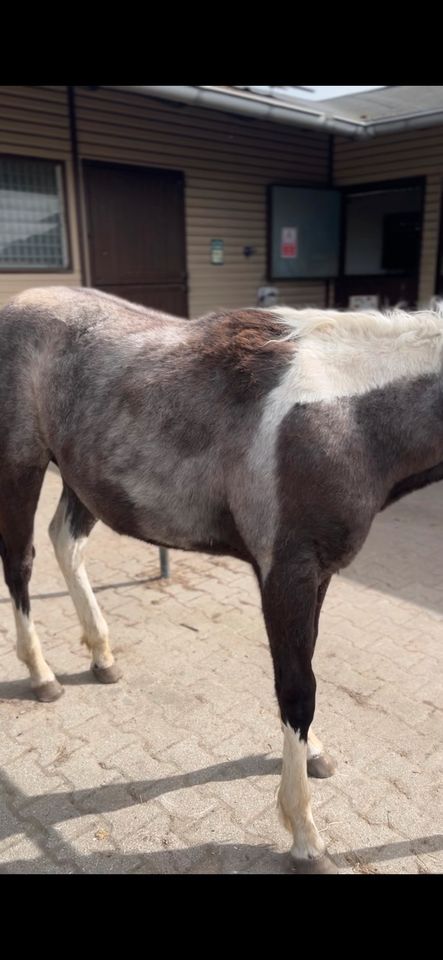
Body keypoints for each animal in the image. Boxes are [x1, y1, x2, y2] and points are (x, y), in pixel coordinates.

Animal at [0, 284, 443, 872]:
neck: (350, 416)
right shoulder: (286, 574)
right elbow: (297, 689)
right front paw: (304, 834)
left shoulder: (319, 573)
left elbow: (304, 676)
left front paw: (313, 754)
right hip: (21, 465)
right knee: (20, 561)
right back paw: (42, 674)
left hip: (79, 477)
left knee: (66, 545)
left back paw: (101, 655)